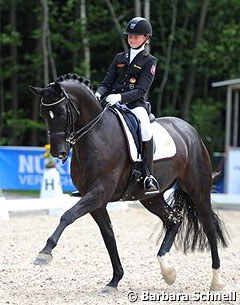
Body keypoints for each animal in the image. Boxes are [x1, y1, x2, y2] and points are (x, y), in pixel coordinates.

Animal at [29, 73, 227, 292]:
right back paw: (168, 272)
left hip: (198, 190)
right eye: (43, 114)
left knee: (209, 226)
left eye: (62, 112)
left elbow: (67, 216)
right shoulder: (96, 201)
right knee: (174, 220)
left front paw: (45, 252)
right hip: (151, 198)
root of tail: (190, 131)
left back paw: (216, 280)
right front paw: (114, 280)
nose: (58, 152)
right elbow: (108, 236)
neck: (96, 134)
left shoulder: (99, 192)